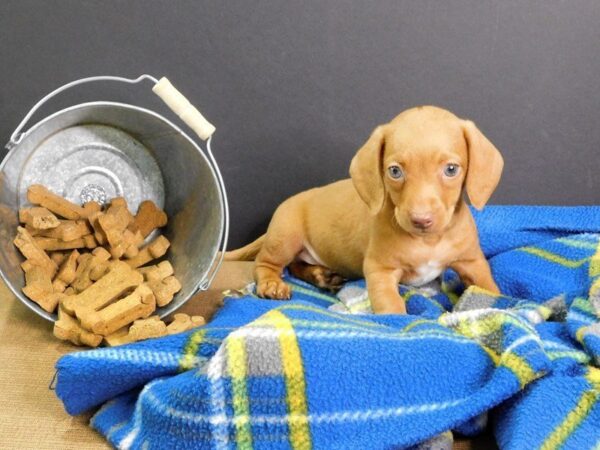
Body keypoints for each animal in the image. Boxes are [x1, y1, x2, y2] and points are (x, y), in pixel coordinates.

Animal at [227, 105, 504, 312]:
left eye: (451, 169)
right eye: (395, 171)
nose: (421, 220)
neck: (428, 241)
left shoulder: (473, 263)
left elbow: (492, 290)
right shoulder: (380, 270)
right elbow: (391, 306)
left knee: (296, 265)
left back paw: (321, 275)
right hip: (285, 237)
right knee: (265, 263)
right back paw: (272, 284)